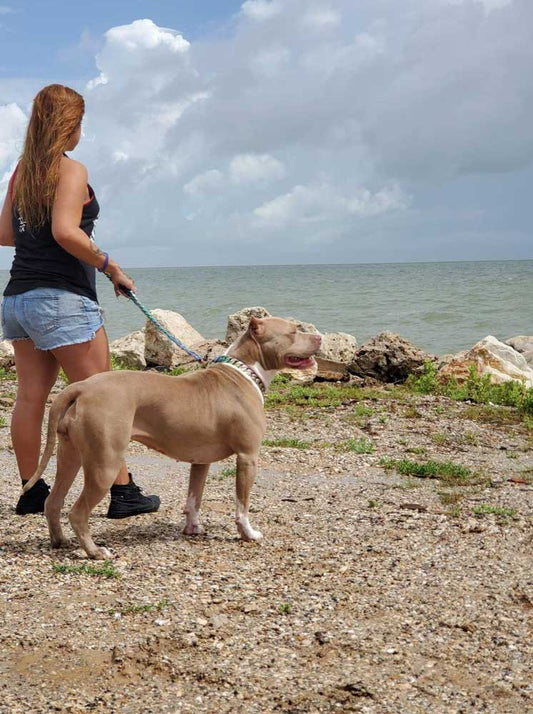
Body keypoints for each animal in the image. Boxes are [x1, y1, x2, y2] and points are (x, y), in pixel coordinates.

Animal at [22, 316, 320, 556]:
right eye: (294, 331)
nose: (319, 338)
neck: (243, 372)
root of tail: (82, 387)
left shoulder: (201, 461)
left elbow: (193, 499)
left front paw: (193, 528)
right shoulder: (248, 457)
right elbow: (242, 505)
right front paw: (248, 534)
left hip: (70, 455)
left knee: (53, 501)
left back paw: (60, 542)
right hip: (104, 464)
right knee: (77, 512)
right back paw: (95, 552)